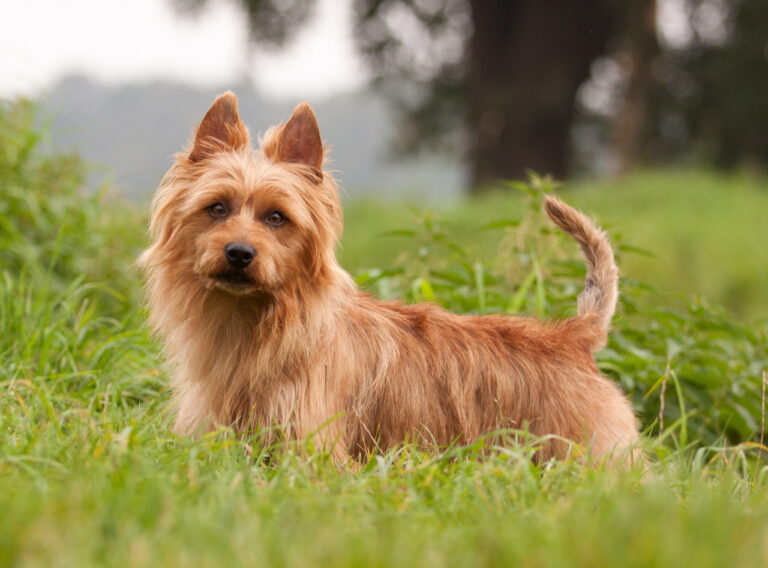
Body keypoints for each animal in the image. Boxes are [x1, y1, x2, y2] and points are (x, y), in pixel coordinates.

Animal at [136, 93, 636, 464]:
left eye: (277, 217)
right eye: (216, 208)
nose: (239, 253)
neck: (259, 325)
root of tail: (574, 335)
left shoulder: (310, 446)